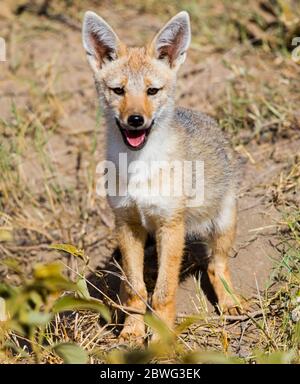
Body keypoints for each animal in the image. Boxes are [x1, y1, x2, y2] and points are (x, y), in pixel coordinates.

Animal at [82, 11, 244, 342]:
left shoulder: (171, 226)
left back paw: (229, 301)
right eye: (118, 91)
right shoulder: (127, 224)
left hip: (223, 223)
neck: (139, 168)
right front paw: (132, 331)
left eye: (152, 91)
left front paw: (161, 339)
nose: (135, 120)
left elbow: (163, 292)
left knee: (215, 265)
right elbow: (136, 290)